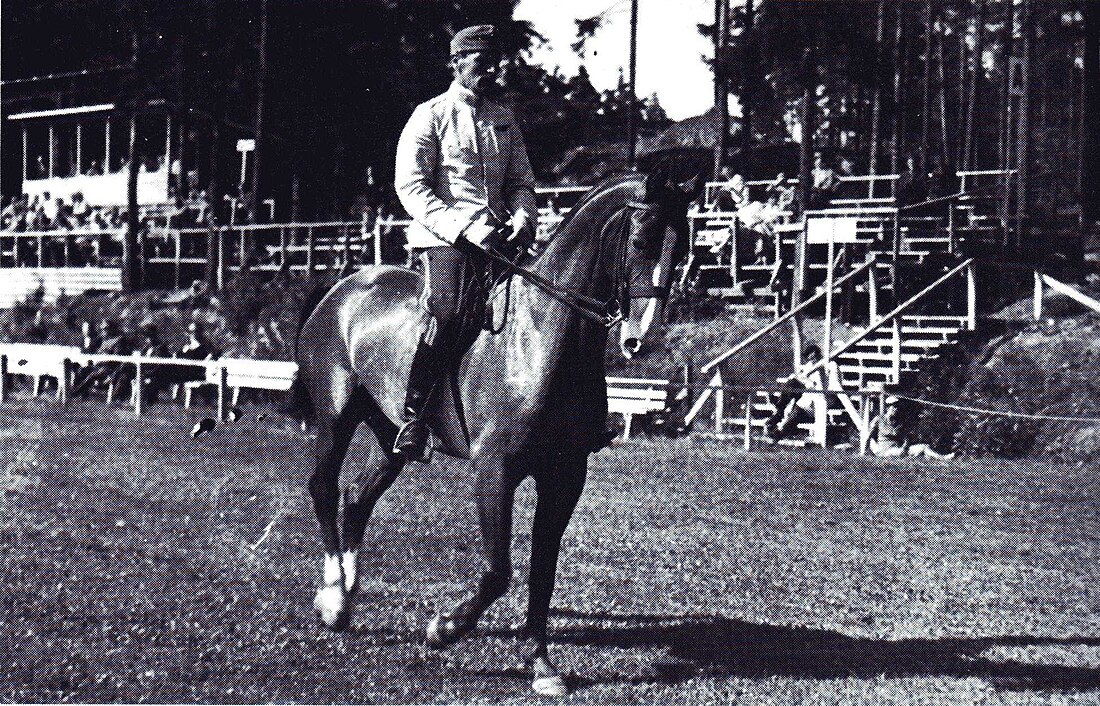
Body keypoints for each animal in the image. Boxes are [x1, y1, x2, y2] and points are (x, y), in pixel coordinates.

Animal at [292, 169, 699, 695]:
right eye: (641, 239)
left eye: (684, 246)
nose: (641, 339)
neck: (541, 337)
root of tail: (343, 285)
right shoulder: (495, 469)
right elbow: (499, 570)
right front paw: (443, 629)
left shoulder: (565, 475)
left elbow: (542, 569)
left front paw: (541, 666)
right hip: (336, 416)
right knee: (323, 487)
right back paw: (334, 599)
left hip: (392, 435)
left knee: (358, 495)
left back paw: (348, 588)